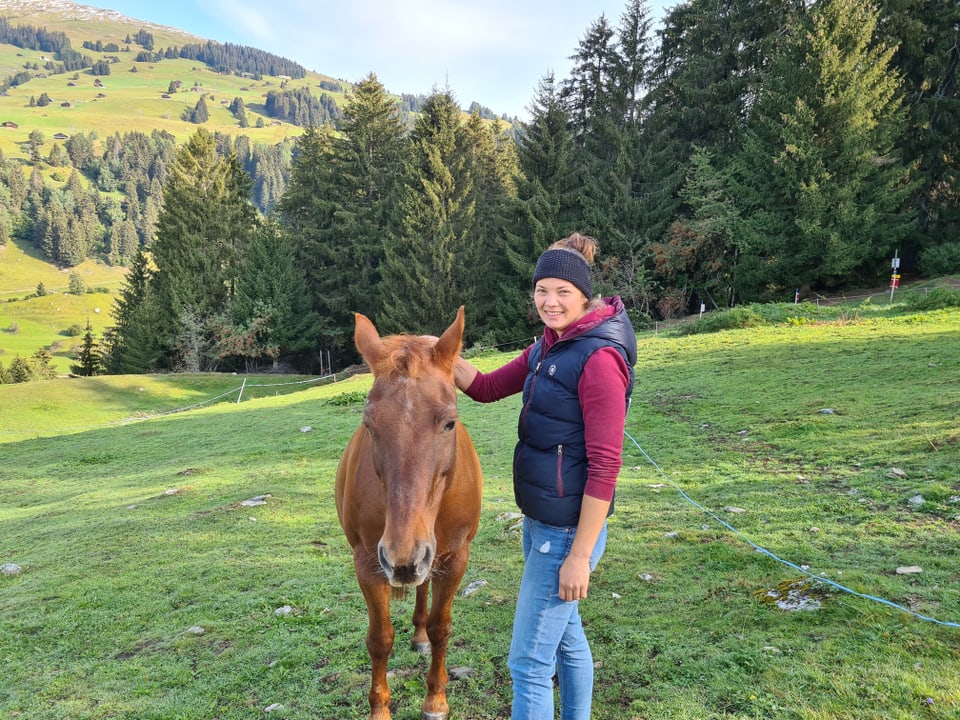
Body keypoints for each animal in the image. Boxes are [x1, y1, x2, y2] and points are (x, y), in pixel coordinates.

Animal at [338, 306, 484, 716]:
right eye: (369, 425)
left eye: (449, 422)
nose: (403, 558)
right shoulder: (368, 562)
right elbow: (380, 638)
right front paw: (379, 709)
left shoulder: (455, 557)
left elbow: (441, 627)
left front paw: (435, 700)